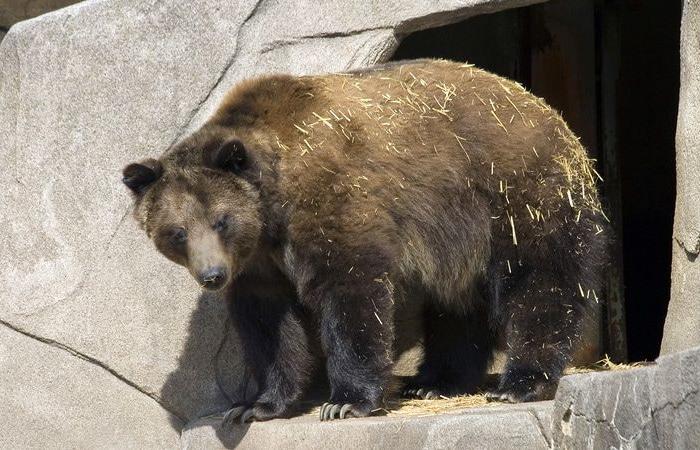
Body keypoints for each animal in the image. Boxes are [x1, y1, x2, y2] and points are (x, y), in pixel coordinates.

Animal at [124, 59, 608, 422]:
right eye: (177, 232)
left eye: (221, 221)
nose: (212, 275)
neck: (274, 205)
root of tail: (552, 115)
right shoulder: (260, 263)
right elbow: (271, 324)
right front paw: (258, 404)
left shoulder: (335, 203)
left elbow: (351, 292)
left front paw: (346, 401)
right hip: (460, 241)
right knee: (456, 305)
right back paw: (434, 381)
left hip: (514, 195)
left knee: (540, 281)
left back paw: (521, 382)